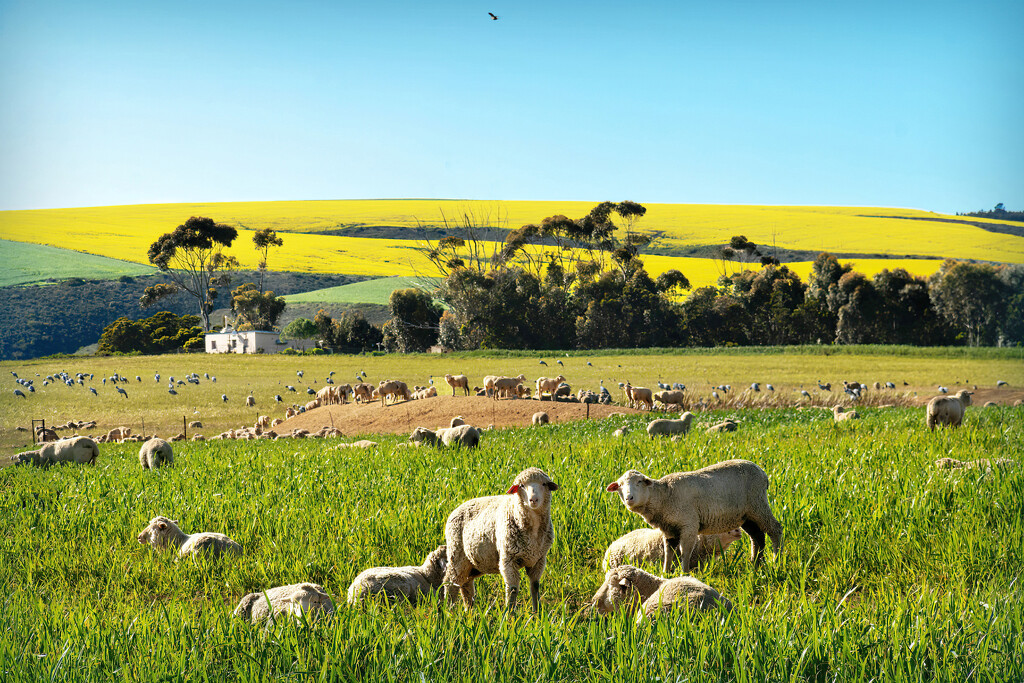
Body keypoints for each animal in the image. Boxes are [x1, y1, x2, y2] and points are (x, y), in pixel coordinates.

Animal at [444, 466, 561, 610]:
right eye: (522, 485)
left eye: (544, 484)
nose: (533, 500)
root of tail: (457, 509)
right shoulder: (508, 559)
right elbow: (513, 589)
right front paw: (510, 613)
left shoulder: (538, 560)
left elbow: (535, 586)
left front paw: (537, 612)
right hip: (457, 555)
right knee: (450, 582)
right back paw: (448, 609)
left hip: (474, 563)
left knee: (466, 583)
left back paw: (469, 609)